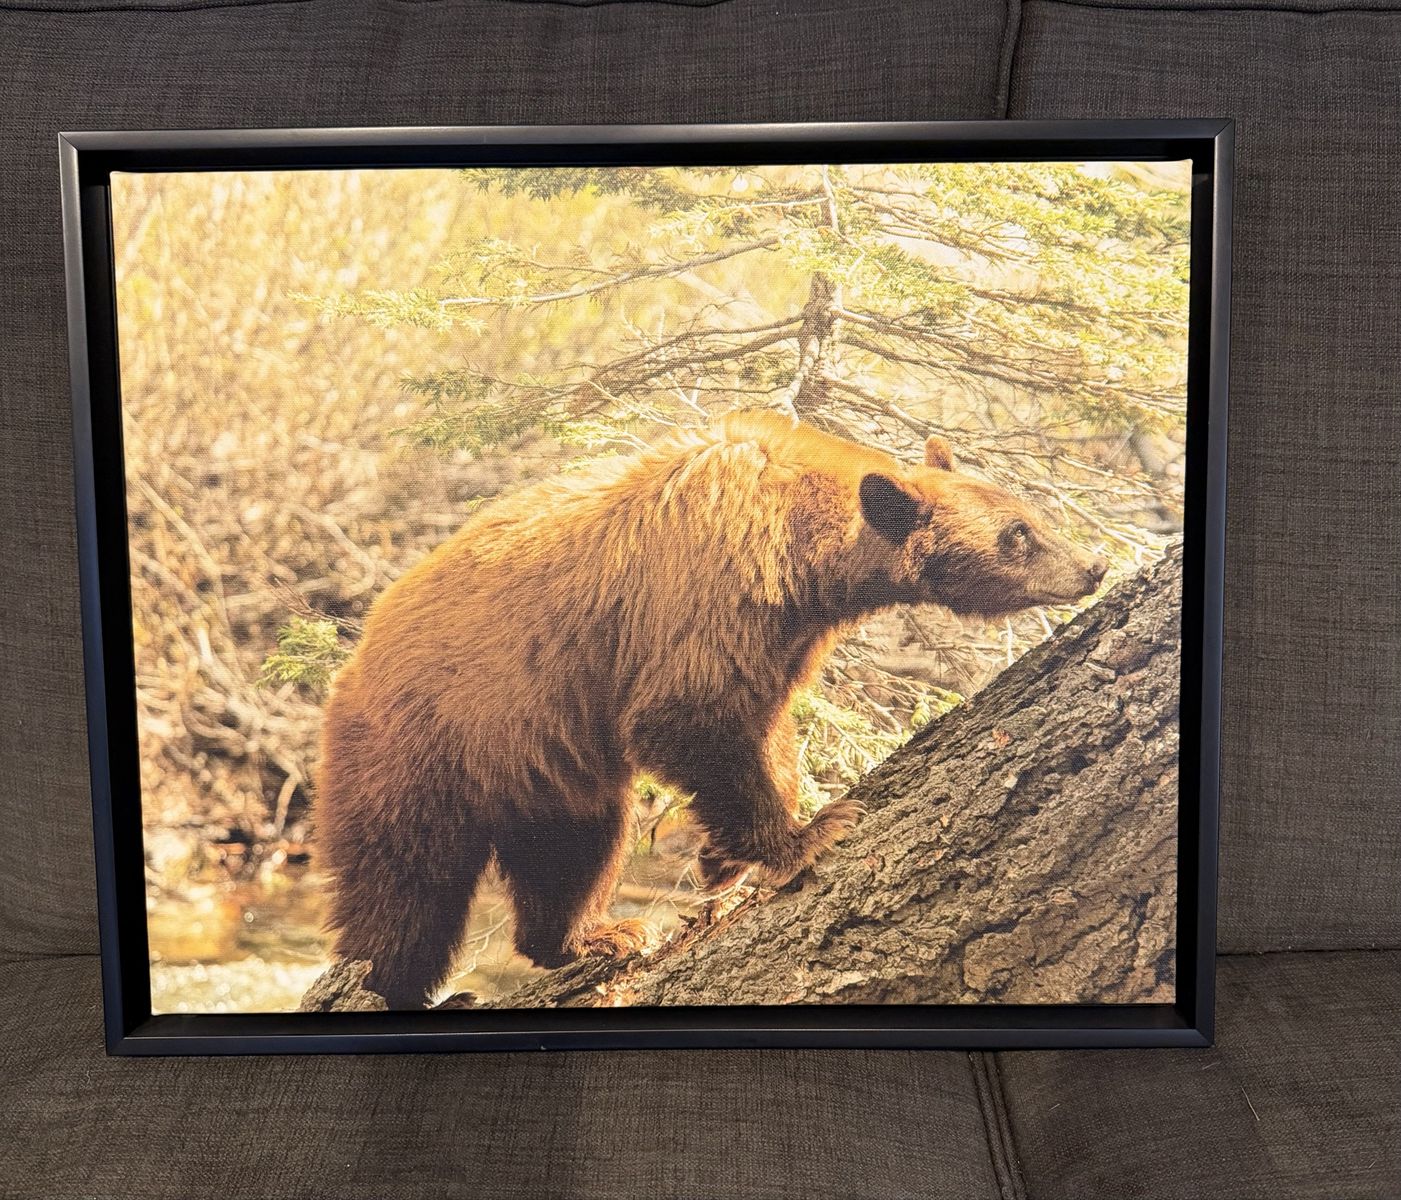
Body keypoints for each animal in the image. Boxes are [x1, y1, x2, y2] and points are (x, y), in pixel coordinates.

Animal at [314, 409, 1108, 1007]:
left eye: (1031, 515)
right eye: (1018, 535)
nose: (1093, 565)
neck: (804, 545)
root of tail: (354, 659)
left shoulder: (784, 630)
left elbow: (767, 725)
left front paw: (725, 855)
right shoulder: (710, 586)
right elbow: (689, 714)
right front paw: (805, 835)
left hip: (545, 768)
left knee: (571, 848)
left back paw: (592, 936)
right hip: (423, 746)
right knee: (404, 892)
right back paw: (388, 981)